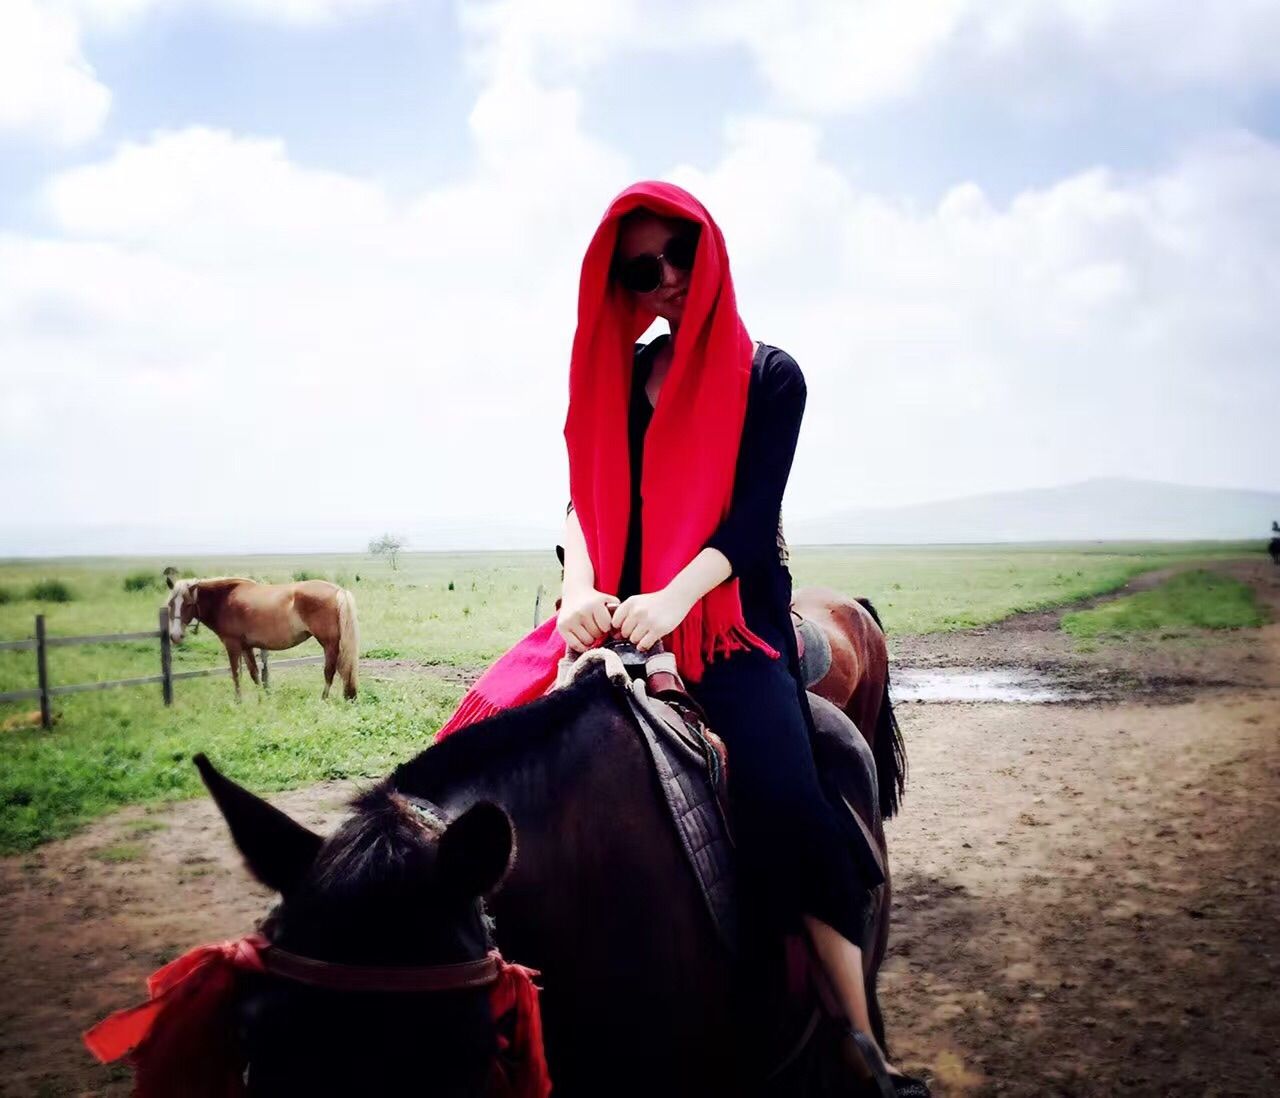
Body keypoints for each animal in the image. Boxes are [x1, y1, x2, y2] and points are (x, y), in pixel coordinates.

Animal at [165, 568, 358, 696]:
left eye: (188, 604)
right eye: (171, 604)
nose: (175, 636)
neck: (224, 600)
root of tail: (339, 591)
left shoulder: (232, 645)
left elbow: (236, 674)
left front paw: (238, 703)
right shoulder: (246, 646)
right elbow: (254, 673)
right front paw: (263, 699)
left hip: (329, 644)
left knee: (330, 672)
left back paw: (324, 700)